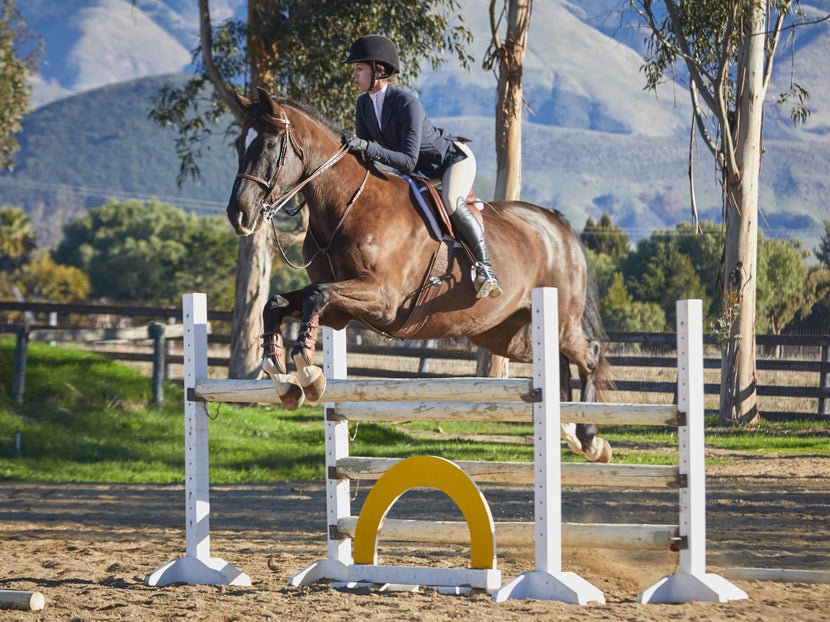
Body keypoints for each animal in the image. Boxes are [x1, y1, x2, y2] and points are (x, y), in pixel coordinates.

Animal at [224, 90, 616, 466]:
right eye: (241, 145)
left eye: (269, 145)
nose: (238, 215)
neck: (347, 207)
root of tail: (557, 224)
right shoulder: (341, 312)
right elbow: (277, 303)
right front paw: (283, 379)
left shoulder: (383, 300)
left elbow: (315, 296)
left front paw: (308, 373)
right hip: (506, 334)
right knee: (557, 361)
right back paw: (569, 428)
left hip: (560, 320)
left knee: (589, 355)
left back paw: (590, 438)